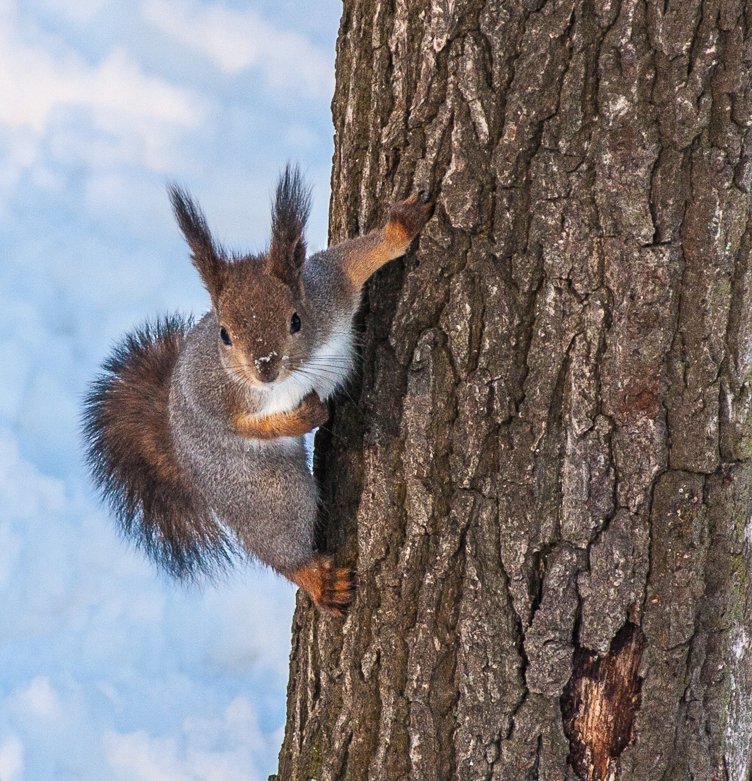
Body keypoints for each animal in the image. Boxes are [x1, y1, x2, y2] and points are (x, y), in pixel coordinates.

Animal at [82, 166, 432, 616]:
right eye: (224, 334)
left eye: (295, 320)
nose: (265, 368)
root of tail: (179, 453)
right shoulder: (212, 398)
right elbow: (242, 426)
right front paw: (303, 416)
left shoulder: (329, 291)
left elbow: (357, 259)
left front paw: (400, 226)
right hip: (265, 492)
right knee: (279, 544)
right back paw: (313, 577)